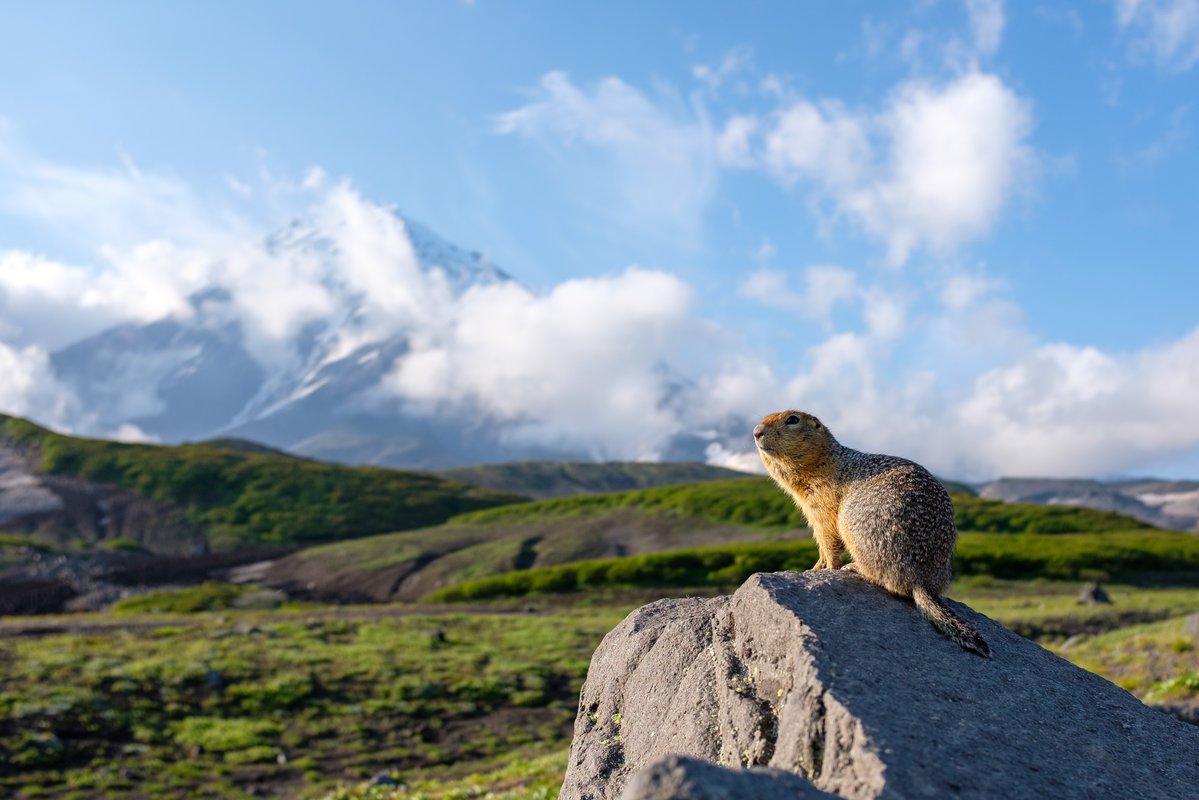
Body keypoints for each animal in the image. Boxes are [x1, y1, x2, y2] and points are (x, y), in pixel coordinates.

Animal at [752, 412, 987, 657]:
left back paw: (854, 567)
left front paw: (826, 568)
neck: (825, 461)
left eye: (793, 419)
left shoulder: (822, 504)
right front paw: (815, 567)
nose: (756, 432)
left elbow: (828, 539)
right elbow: (821, 542)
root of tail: (921, 581)